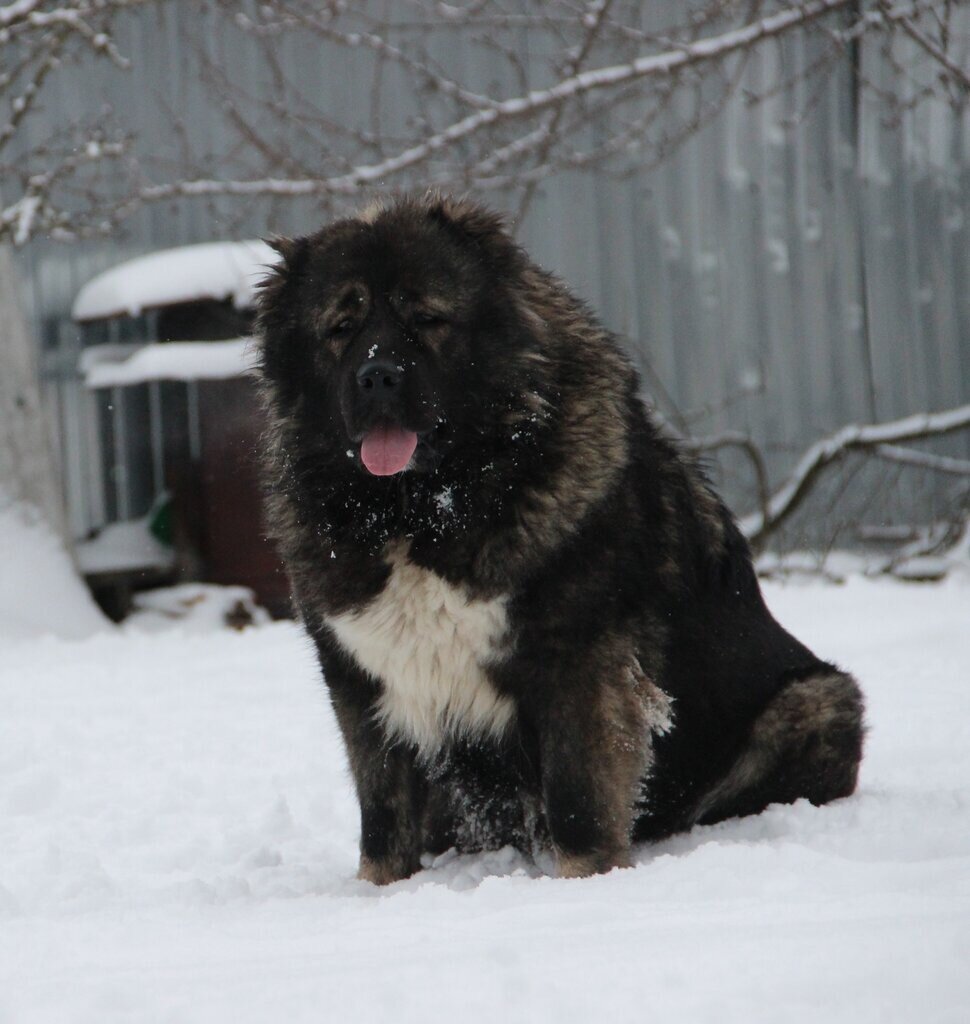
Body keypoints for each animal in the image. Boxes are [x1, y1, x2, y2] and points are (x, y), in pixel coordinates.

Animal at [256, 195, 864, 884]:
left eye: (427, 318)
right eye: (341, 327)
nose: (376, 376)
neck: (425, 515)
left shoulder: (581, 668)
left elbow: (578, 802)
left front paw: (583, 883)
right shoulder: (360, 684)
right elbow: (383, 820)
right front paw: (380, 893)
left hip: (816, 701)